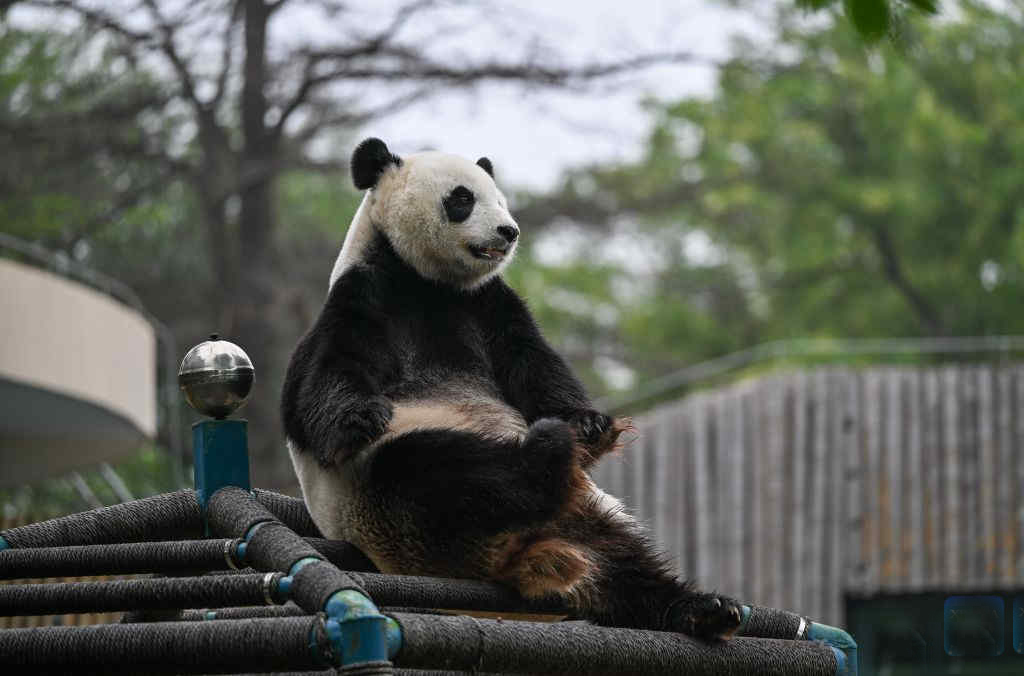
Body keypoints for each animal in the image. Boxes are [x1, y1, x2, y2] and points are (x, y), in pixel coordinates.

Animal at [282, 137, 742, 641]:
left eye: (500, 198)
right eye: (463, 198)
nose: (509, 231)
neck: (427, 282)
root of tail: (519, 551)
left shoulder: (488, 303)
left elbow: (532, 361)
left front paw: (591, 425)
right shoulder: (364, 296)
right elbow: (323, 379)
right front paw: (361, 416)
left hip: (588, 517)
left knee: (627, 568)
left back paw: (703, 608)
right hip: (390, 505)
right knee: (444, 471)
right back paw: (545, 453)